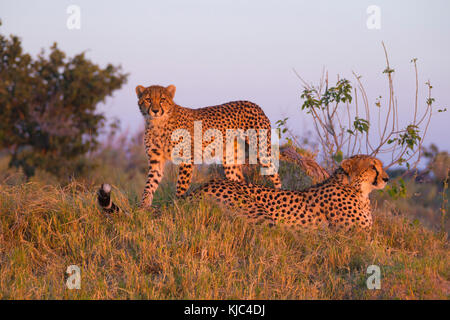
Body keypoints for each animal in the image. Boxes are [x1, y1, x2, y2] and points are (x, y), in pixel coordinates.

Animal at [131, 84, 282, 208]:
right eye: (148, 99)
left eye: (162, 99)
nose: (155, 110)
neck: (158, 124)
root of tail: (253, 104)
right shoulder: (156, 160)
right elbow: (150, 183)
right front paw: (143, 206)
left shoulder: (186, 158)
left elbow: (181, 185)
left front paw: (177, 204)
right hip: (230, 160)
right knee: (239, 180)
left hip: (261, 150)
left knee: (275, 174)